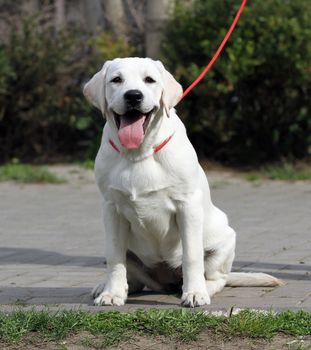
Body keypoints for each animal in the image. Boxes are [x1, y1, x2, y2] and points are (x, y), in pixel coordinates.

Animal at [83, 57, 282, 306]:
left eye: (149, 80)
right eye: (116, 80)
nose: (133, 96)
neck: (138, 154)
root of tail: (166, 282)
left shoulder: (188, 206)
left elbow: (192, 256)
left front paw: (194, 293)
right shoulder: (111, 209)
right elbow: (114, 258)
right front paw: (112, 293)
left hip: (225, 240)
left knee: (218, 278)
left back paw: (203, 288)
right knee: (134, 278)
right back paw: (108, 287)